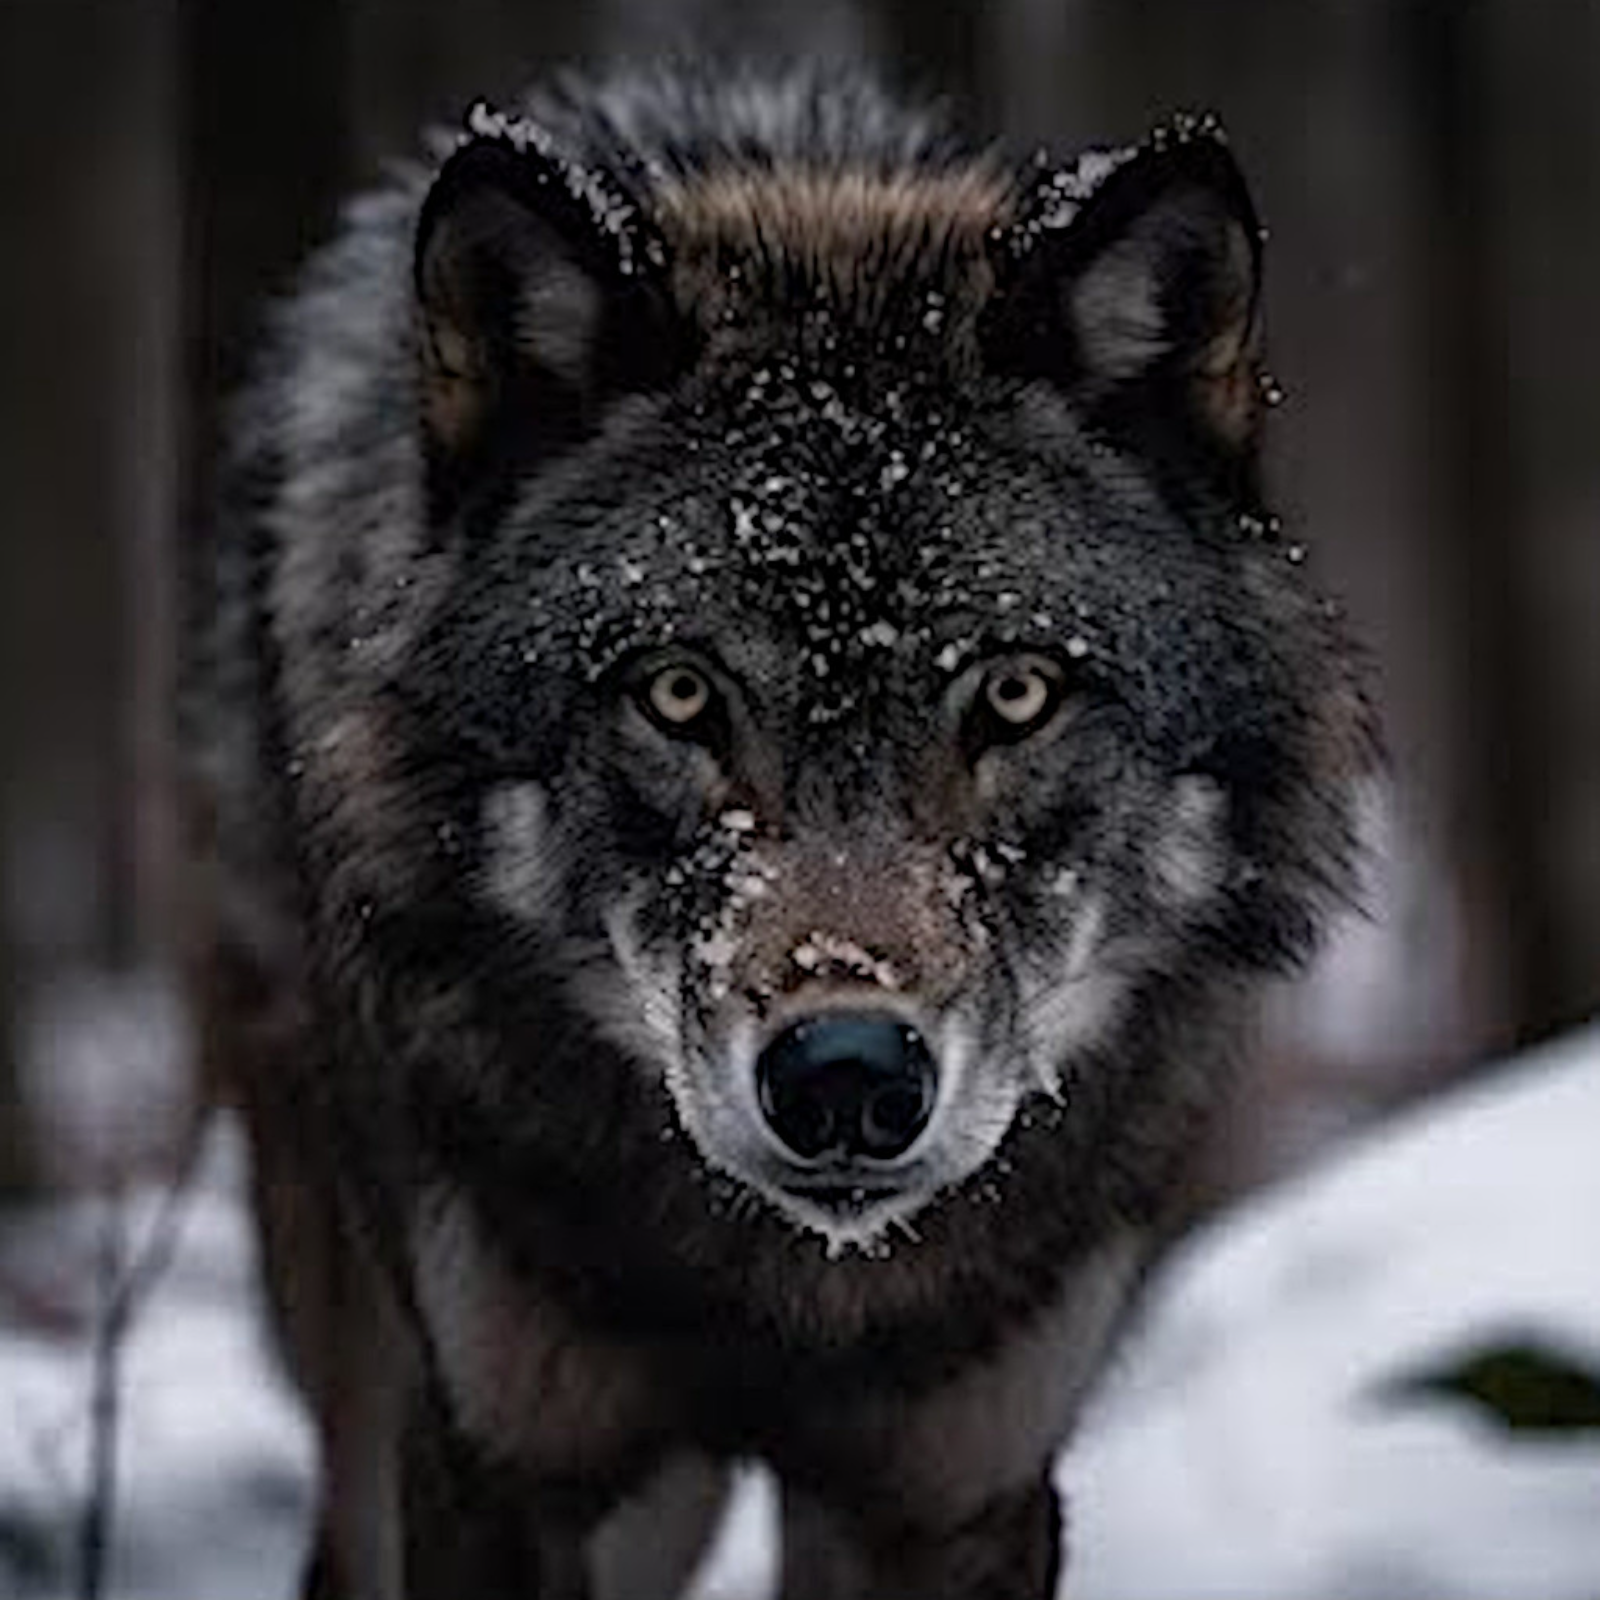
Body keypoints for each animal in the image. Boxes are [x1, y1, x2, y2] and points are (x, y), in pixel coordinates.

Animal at [182, 65, 1376, 1600]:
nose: (847, 1076)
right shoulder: (500, 1466)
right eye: (679, 693)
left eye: (1015, 691)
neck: (782, 1295)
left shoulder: (958, 1488)